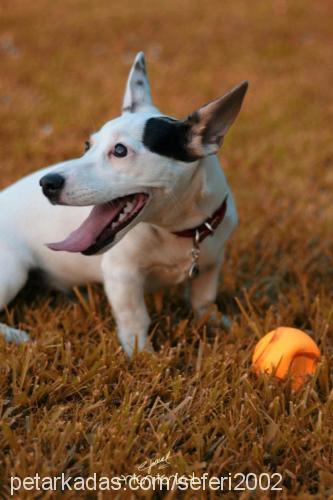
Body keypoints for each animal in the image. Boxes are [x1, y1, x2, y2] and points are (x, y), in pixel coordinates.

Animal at [0, 52, 246, 354]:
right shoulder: (122, 275)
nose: (47, 184)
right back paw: (15, 335)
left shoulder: (211, 262)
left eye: (119, 150)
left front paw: (216, 321)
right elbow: (135, 319)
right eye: (87, 145)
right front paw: (144, 357)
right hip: (11, 270)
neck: (175, 230)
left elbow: (203, 299)